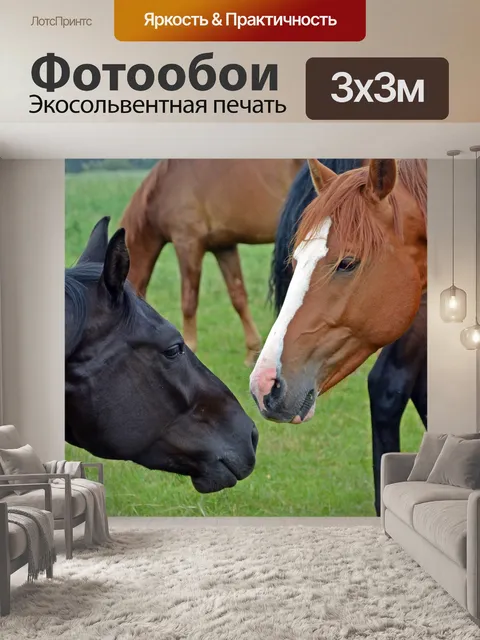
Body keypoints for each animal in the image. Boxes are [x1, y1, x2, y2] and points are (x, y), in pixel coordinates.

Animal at [119, 159, 304, 366]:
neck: (163, 187)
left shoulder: (187, 244)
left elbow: (189, 301)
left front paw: (190, 347)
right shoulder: (224, 247)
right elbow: (238, 297)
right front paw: (252, 352)